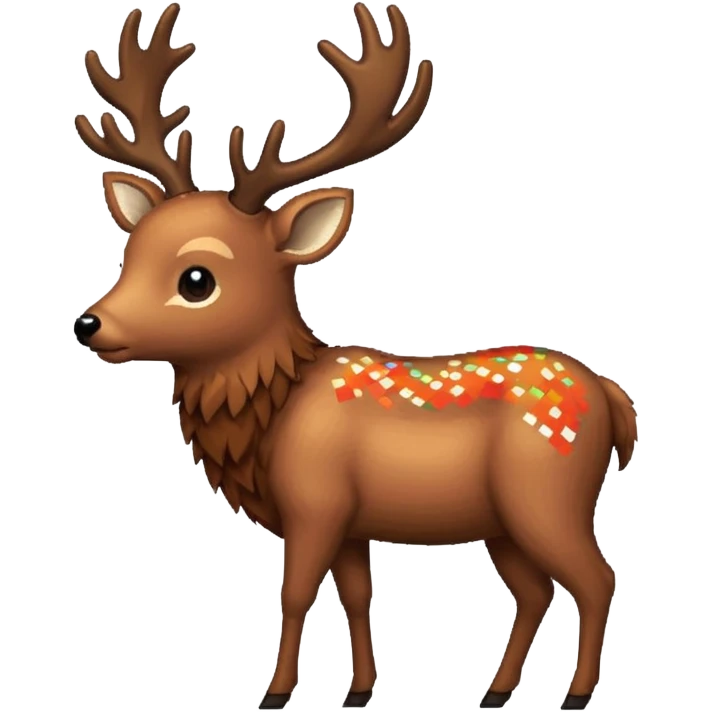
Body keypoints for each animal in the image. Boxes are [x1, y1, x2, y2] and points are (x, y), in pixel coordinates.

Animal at [72, 2, 638, 710]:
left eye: (196, 278)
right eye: (128, 252)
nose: (89, 324)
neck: (271, 417)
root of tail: (615, 398)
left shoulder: (316, 503)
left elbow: (294, 594)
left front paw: (275, 693)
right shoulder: (349, 523)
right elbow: (358, 596)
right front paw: (360, 691)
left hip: (549, 493)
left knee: (597, 577)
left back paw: (575, 694)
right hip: (503, 522)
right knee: (536, 590)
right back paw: (494, 692)